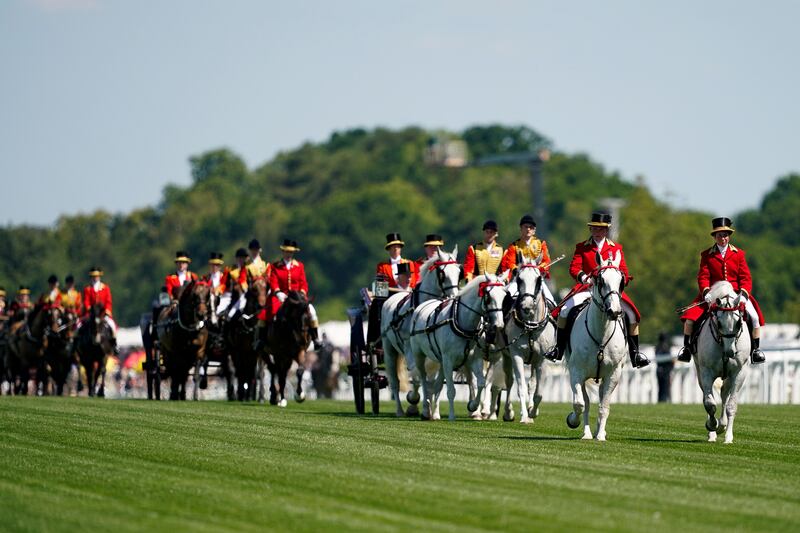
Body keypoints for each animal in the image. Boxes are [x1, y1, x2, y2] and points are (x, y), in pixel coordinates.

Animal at [382, 245, 462, 416]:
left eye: (459, 272)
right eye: (442, 273)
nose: (453, 297)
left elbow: (435, 381)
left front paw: (434, 409)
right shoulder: (411, 349)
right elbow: (418, 377)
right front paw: (415, 401)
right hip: (389, 349)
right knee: (395, 381)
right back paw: (400, 410)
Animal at [412, 274, 506, 420]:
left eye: (504, 296)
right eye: (488, 296)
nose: (499, 325)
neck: (463, 324)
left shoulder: (474, 359)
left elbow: (480, 383)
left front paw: (473, 407)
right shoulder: (448, 360)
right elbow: (451, 390)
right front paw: (452, 416)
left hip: (441, 362)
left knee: (437, 385)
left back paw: (436, 414)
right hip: (420, 356)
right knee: (424, 379)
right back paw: (426, 410)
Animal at [564, 249, 628, 440]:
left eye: (621, 282)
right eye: (601, 280)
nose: (614, 311)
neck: (601, 334)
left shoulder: (613, 375)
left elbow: (604, 407)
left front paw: (600, 435)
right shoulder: (576, 372)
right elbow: (580, 404)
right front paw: (573, 421)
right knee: (584, 401)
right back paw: (586, 433)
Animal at [692, 280, 752, 442]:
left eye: (738, 322)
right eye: (718, 323)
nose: (730, 352)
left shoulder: (739, 373)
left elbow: (731, 405)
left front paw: (728, 436)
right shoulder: (706, 372)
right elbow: (709, 403)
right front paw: (712, 426)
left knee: (725, 394)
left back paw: (723, 425)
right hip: (700, 371)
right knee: (708, 395)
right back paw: (713, 433)